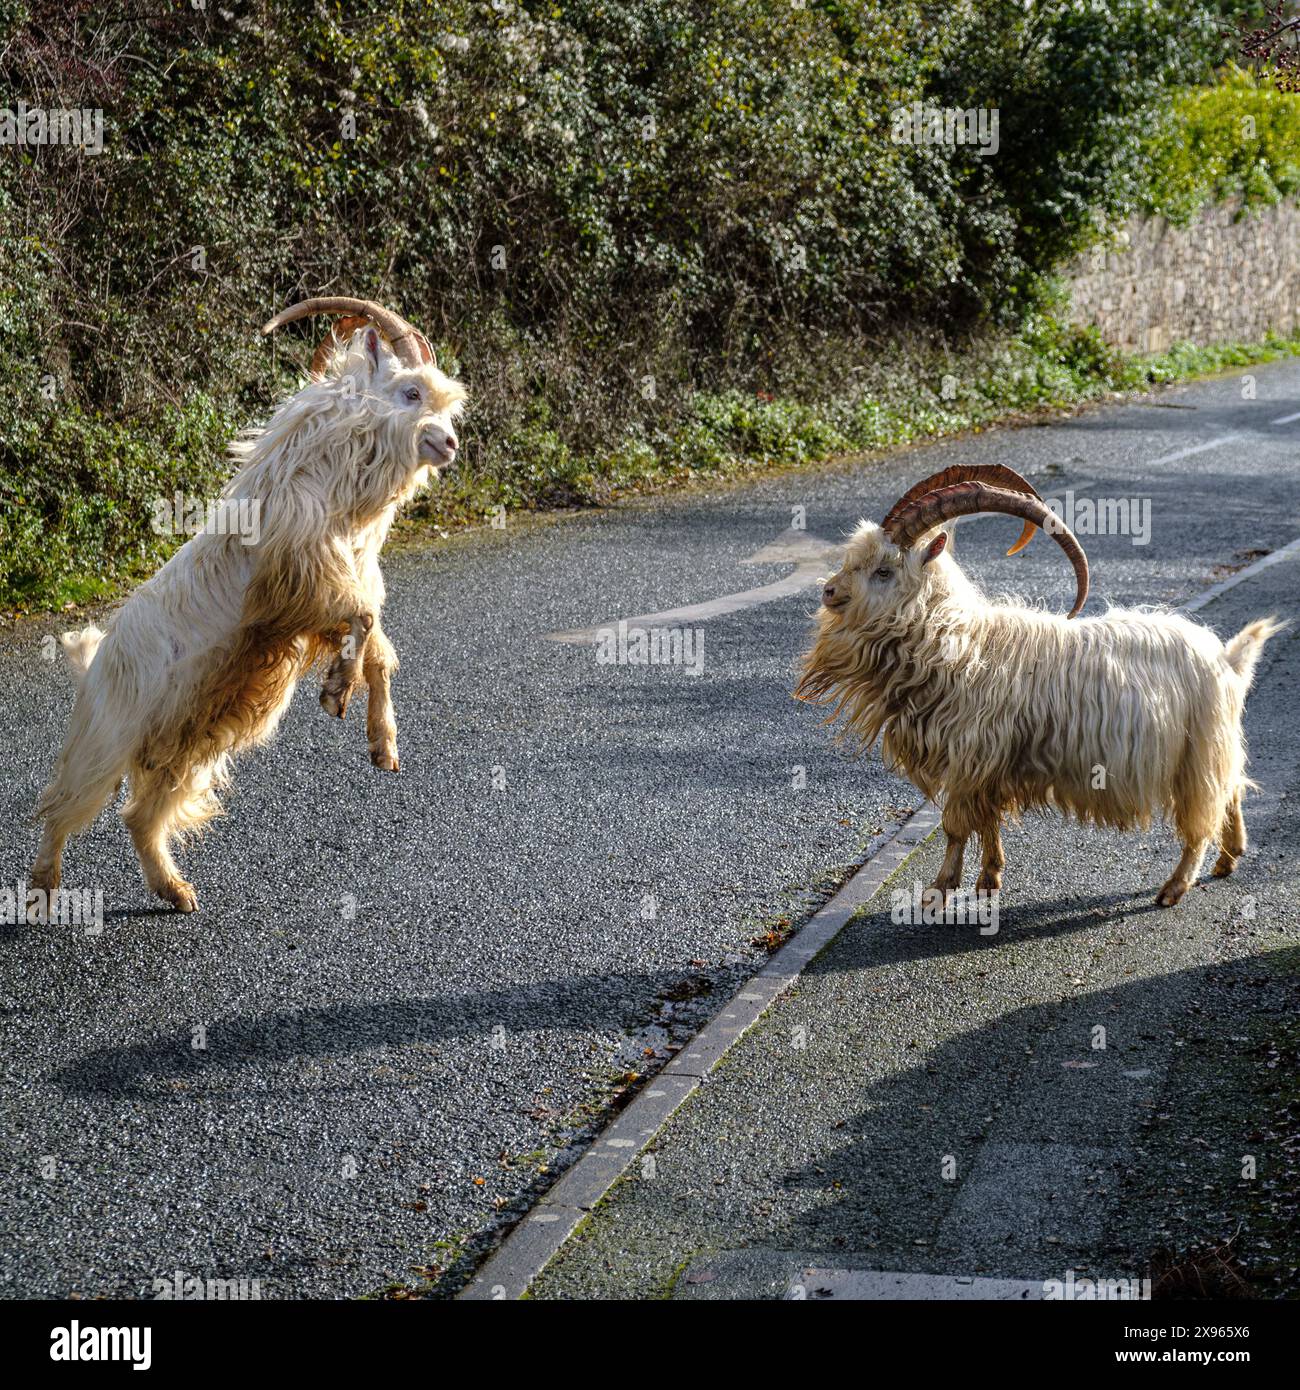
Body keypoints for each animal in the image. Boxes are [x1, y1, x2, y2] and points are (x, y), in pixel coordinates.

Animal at [30, 296, 469, 911]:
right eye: (410, 392)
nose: (449, 444)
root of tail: (91, 665)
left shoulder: (340, 583)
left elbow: (378, 645)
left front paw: (382, 745)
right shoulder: (302, 580)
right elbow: (362, 622)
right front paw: (336, 692)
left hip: (186, 742)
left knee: (141, 815)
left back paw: (176, 891)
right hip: (106, 738)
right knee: (63, 804)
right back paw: (44, 888)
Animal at [800, 461, 1284, 906]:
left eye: (884, 571)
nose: (829, 592)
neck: (959, 641)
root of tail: (1225, 658)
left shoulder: (969, 755)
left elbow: (956, 826)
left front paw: (939, 889)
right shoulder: (990, 764)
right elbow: (987, 821)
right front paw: (989, 878)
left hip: (1195, 752)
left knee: (1202, 815)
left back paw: (1176, 886)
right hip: (1210, 747)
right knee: (1232, 788)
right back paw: (1229, 857)